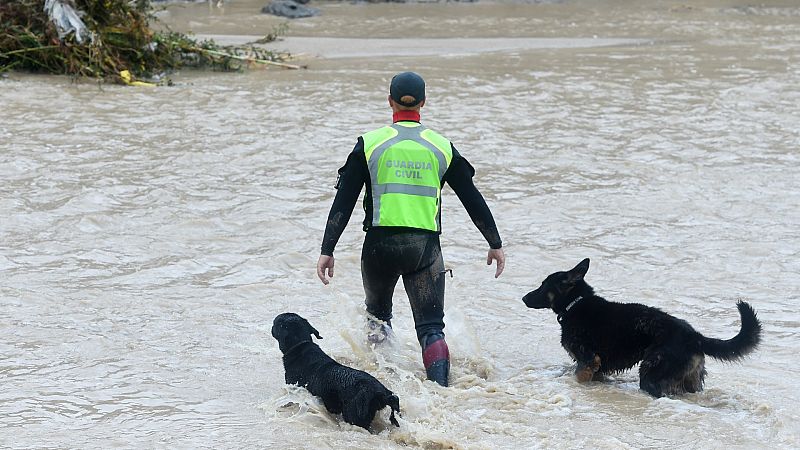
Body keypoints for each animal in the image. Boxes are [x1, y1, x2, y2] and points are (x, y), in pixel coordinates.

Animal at [520, 258, 760, 396]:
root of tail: (695, 336)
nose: (523, 298)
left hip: (651, 375)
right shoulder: (595, 368)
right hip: (690, 381)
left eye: (543, 286)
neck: (575, 303)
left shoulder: (588, 361)